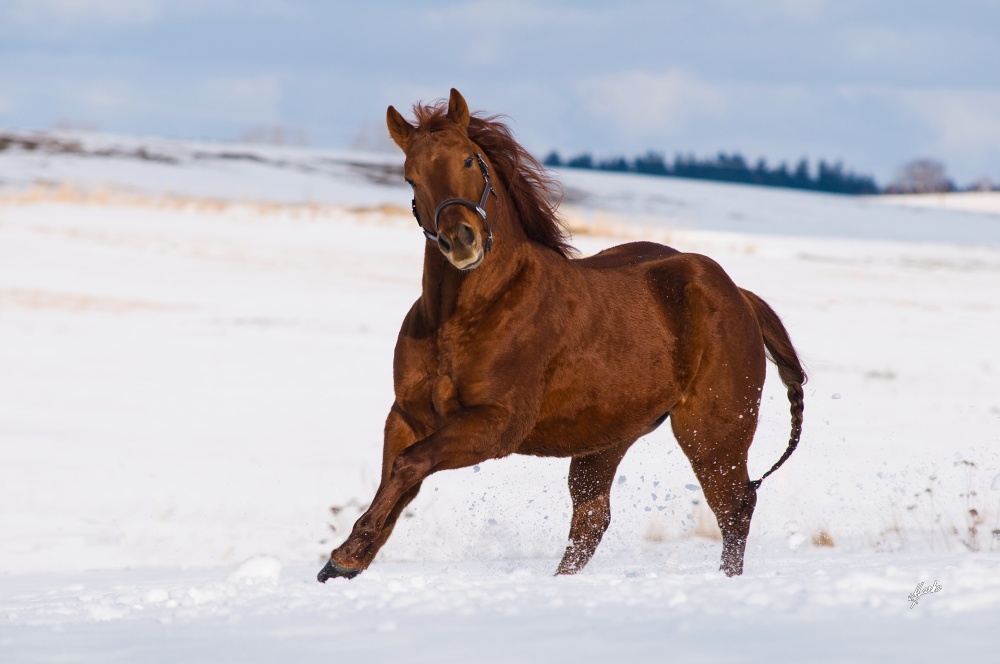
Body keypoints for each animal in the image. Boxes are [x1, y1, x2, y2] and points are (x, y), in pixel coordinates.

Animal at [320, 89, 804, 580]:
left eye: (471, 161)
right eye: (411, 177)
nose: (461, 240)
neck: (462, 319)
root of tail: (739, 295)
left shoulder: (498, 424)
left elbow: (409, 465)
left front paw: (344, 556)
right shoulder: (408, 416)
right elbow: (400, 479)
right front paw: (347, 560)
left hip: (711, 433)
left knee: (734, 507)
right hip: (607, 439)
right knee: (593, 519)